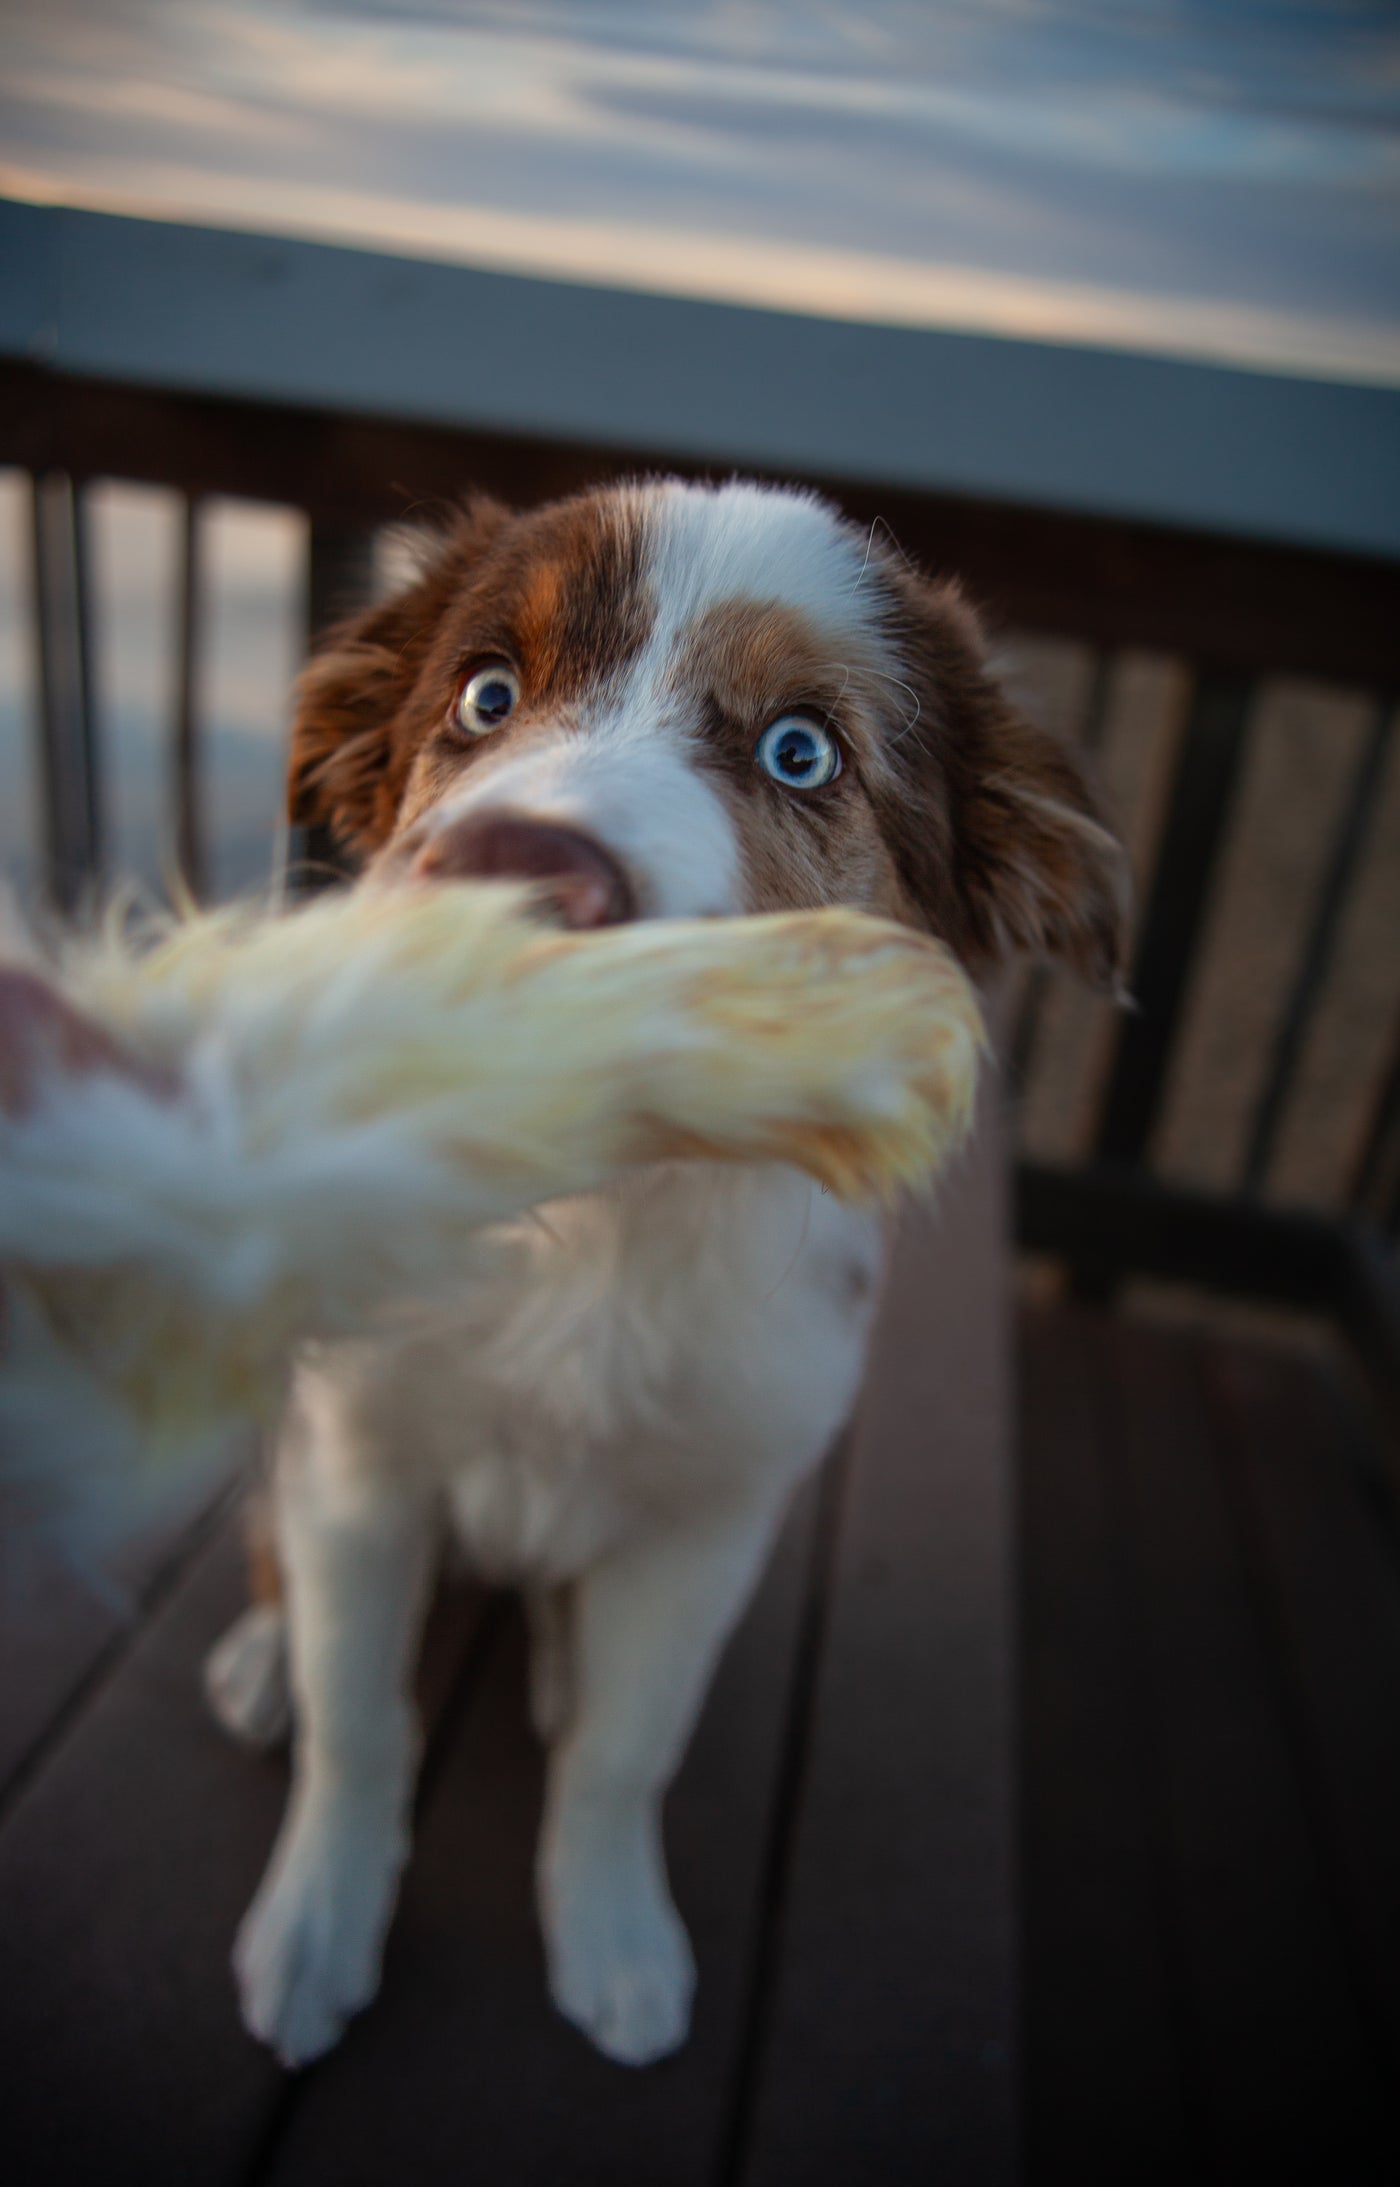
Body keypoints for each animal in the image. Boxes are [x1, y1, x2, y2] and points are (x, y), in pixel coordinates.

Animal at [205, 474, 1128, 2064]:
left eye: (799, 750)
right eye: (485, 693)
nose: (501, 883)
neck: (598, 1214)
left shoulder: (715, 1515)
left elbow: (627, 1751)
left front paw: (615, 1934)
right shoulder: (359, 1453)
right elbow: (361, 1716)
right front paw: (318, 1921)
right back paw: (268, 1656)